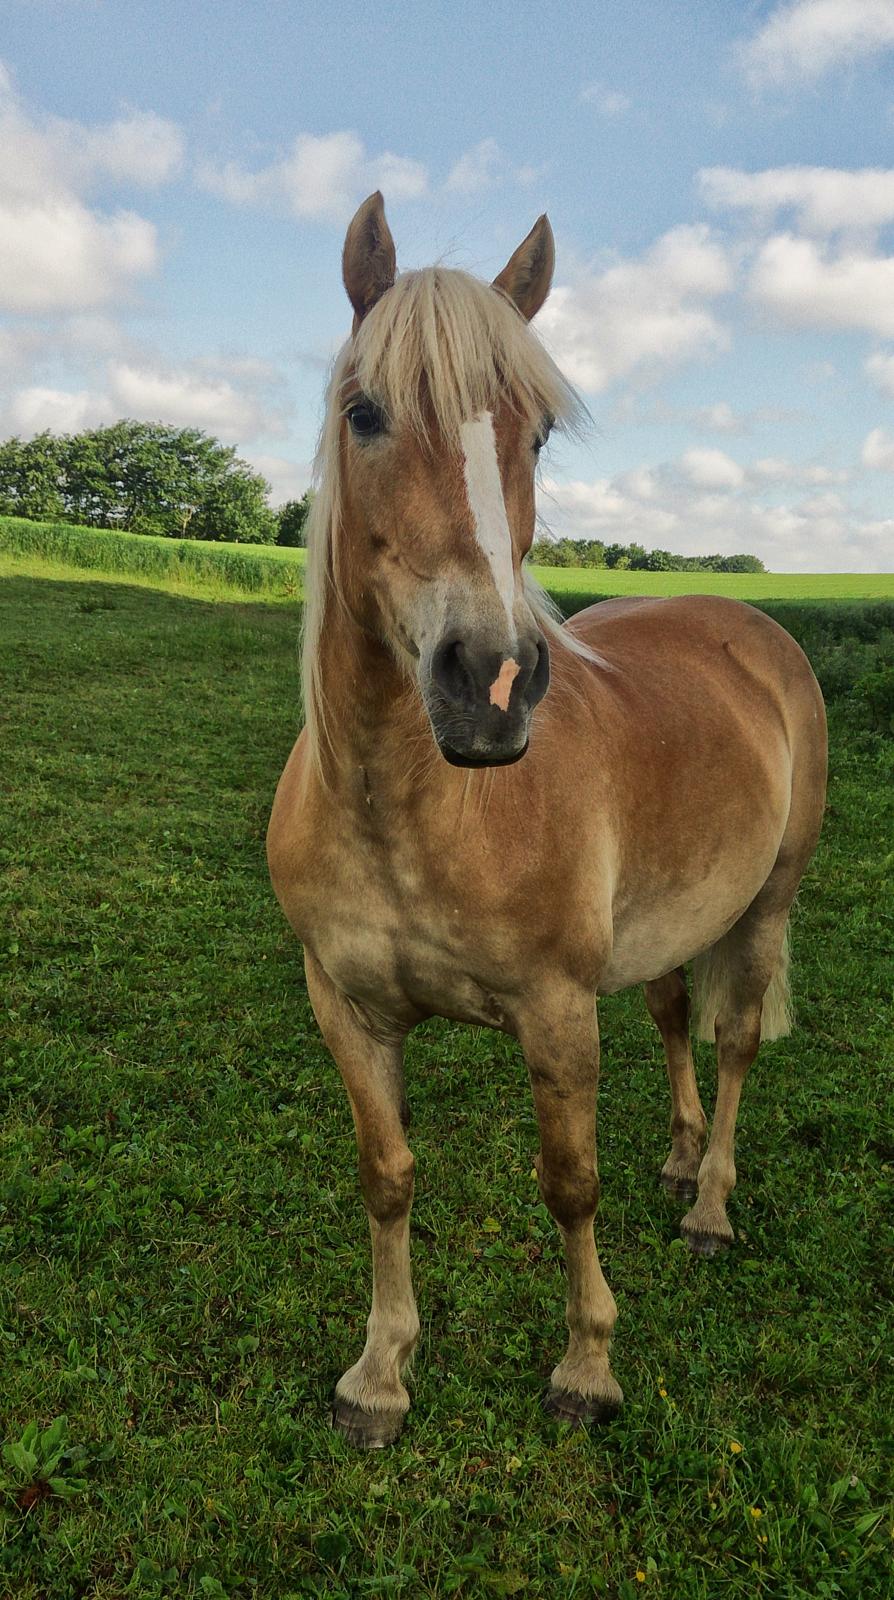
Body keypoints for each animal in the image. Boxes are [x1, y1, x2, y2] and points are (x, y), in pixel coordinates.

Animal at [267, 190, 831, 1452]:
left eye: (535, 436)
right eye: (365, 413)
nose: (491, 683)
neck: (416, 808)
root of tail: (749, 627)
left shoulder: (557, 1014)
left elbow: (569, 1183)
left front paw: (587, 1367)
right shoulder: (346, 1011)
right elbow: (388, 1175)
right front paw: (380, 1374)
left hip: (768, 903)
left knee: (730, 1039)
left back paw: (710, 1204)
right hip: (671, 923)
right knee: (674, 1014)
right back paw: (680, 1158)